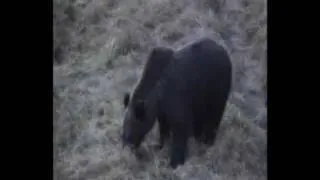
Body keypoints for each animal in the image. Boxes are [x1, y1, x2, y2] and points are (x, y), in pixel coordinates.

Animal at [121, 37, 231, 169]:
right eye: (123, 129)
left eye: (131, 131)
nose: (126, 147)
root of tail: (223, 49)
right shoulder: (162, 111)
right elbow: (164, 128)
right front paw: (161, 146)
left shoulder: (176, 100)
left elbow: (180, 130)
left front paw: (175, 162)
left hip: (217, 88)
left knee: (214, 116)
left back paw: (207, 142)